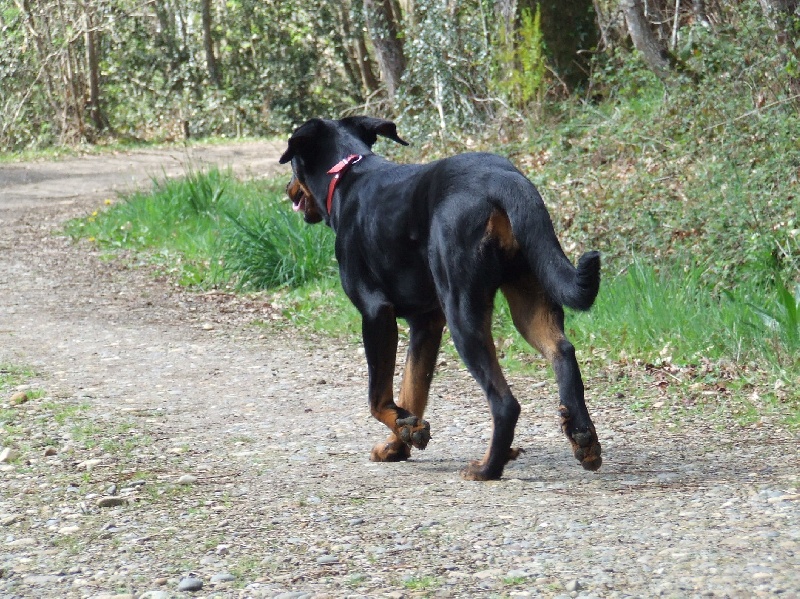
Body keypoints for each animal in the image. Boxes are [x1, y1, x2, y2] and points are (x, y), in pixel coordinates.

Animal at [282, 116, 600, 482]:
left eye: (292, 164)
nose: (288, 189)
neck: (345, 176)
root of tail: (502, 179)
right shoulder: (427, 322)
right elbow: (412, 389)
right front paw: (402, 438)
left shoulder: (376, 313)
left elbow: (378, 397)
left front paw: (403, 429)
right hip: (530, 293)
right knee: (562, 352)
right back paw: (583, 439)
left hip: (462, 312)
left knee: (505, 403)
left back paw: (488, 467)